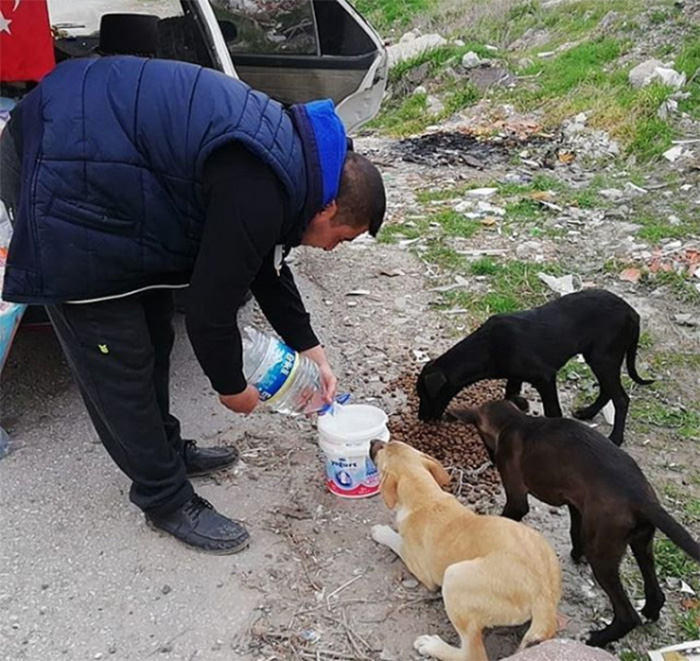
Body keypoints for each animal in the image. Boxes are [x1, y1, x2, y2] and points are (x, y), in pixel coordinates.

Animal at [370, 438, 560, 660]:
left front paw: (381, 532)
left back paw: (432, 645)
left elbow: (396, 541)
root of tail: (544, 599)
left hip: (454, 577)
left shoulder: (418, 567)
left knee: (473, 654)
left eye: (381, 449)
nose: (373, 441)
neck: (426, 495)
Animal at [416, 288, 652, 444]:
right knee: (606, 391)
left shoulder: (545, 377)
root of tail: (634, 313)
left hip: (603, 359)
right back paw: (587, 413)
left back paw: (615, 437)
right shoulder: (514, 373)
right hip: (599, 359)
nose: (421, 418)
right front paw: (518, 404)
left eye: (424, 395)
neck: (487, 348)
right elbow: (510, 390)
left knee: (621, 399)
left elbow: (552, 411)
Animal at [448, 400, 700, 648]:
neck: (515, 421)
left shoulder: (518, 500)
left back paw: (597, 638)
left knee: (628, 615)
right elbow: (574, 531)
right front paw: (576, 554)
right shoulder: (575, 503)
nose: (491, 458)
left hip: (603, 554)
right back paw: (649, 611)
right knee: (656, 592)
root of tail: (641, 498)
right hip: (641, 543)